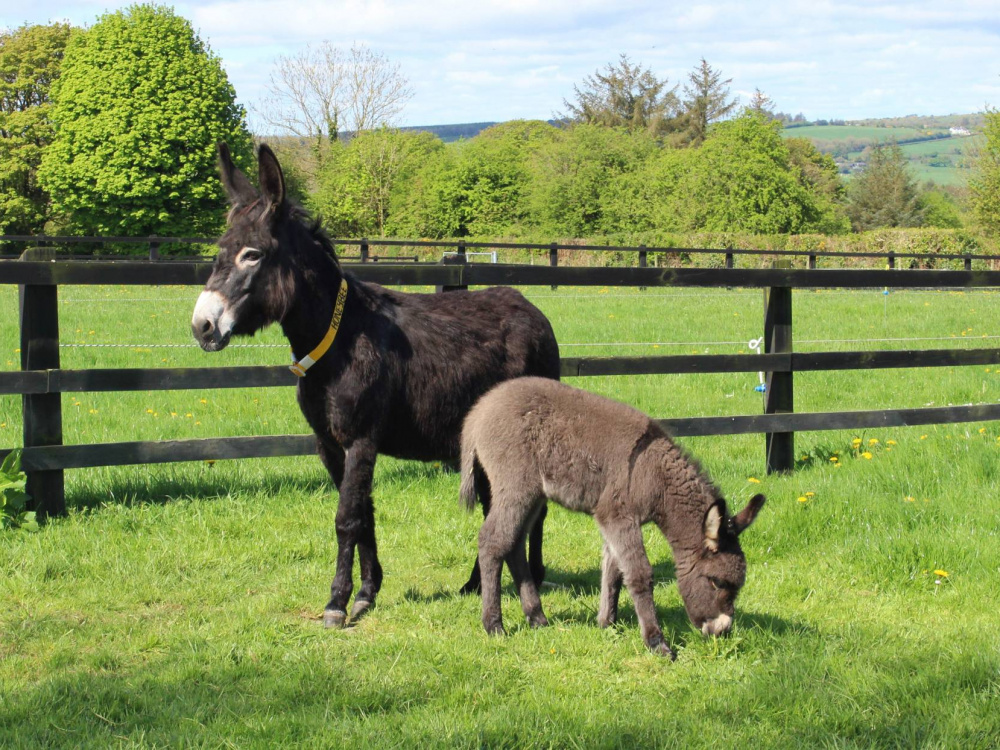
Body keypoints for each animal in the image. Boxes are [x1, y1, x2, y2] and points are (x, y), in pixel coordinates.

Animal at [462, 378, 764, 660]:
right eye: (717, 582)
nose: (721, 633)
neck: (653, 473)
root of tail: (479, 410)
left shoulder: (614, 520)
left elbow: (613, 569)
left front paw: (607, 623)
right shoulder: (618, 516)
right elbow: (639, 574)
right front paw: (656, 642)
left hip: (534, 494)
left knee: (514, 544)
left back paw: (536, 617)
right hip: (515, 486)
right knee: (492, 541)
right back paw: (494, 625)